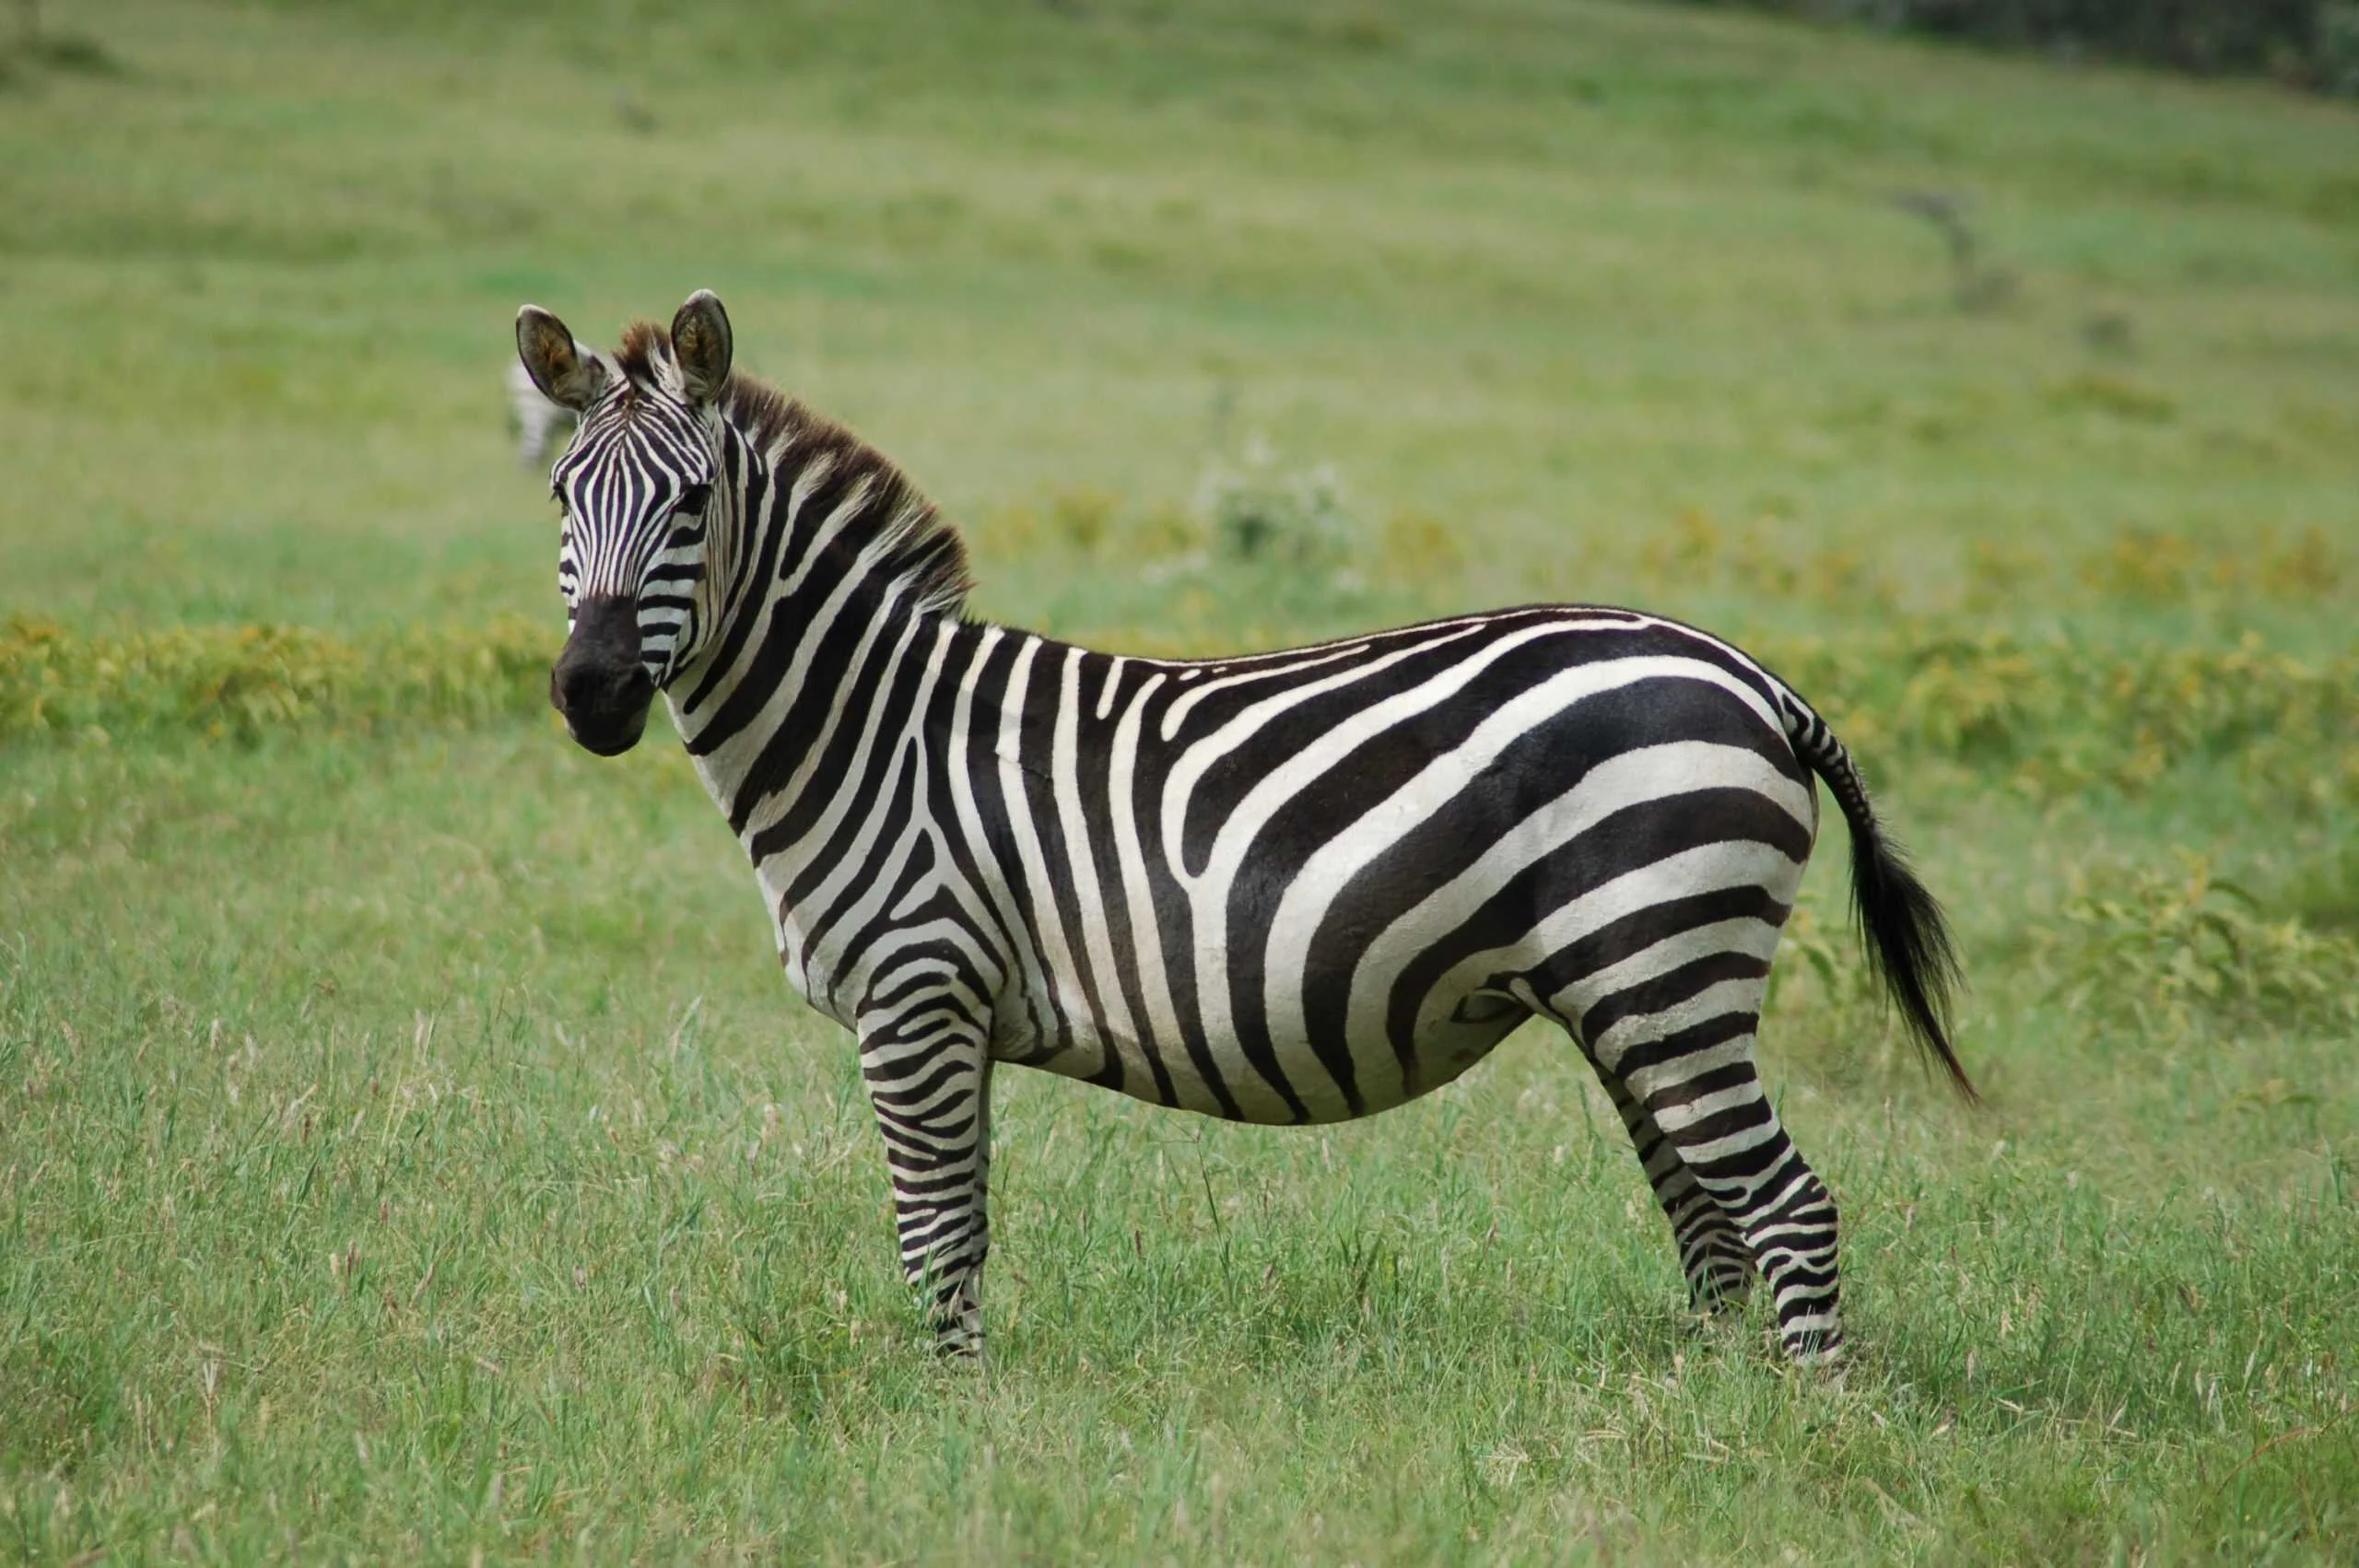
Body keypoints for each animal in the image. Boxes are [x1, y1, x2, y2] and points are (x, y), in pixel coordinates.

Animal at [515, 289, 1971, 1367]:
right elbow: (964, 1228)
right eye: (561, 500)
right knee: (1708, 1211)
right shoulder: (956, 1011)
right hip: (1633, 984)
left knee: (1786, 1205)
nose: (592, 693)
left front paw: (950, 1423)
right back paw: (1706, 1401)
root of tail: (1756, 677)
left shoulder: (916, 992)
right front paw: (970, 1407)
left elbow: (934, 1236)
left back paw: (1802, 1424)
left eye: (692, 505)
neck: (871, 726)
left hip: (1665, 961)